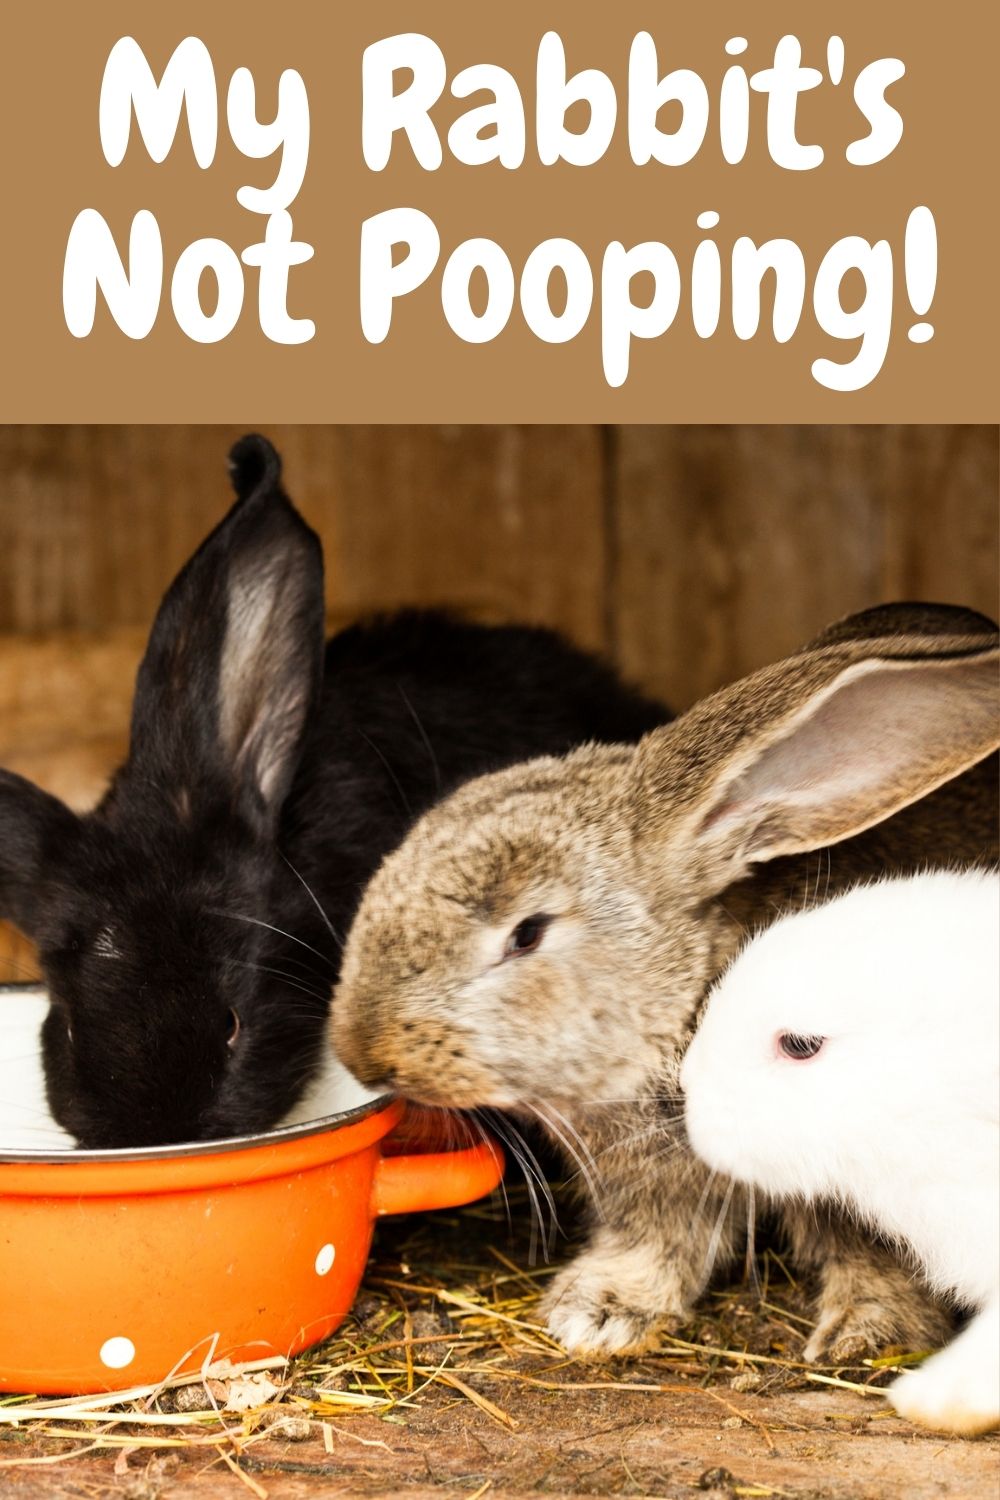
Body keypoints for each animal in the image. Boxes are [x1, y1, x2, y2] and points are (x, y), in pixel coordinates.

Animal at [332, 603, 999, 1363]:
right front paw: (598, 1310)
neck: (687, 1004)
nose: (361, 1051)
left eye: (528, 932)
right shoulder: (647, 1189)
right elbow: (656, 1243)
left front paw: (867, 1333)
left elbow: (879, 1261)